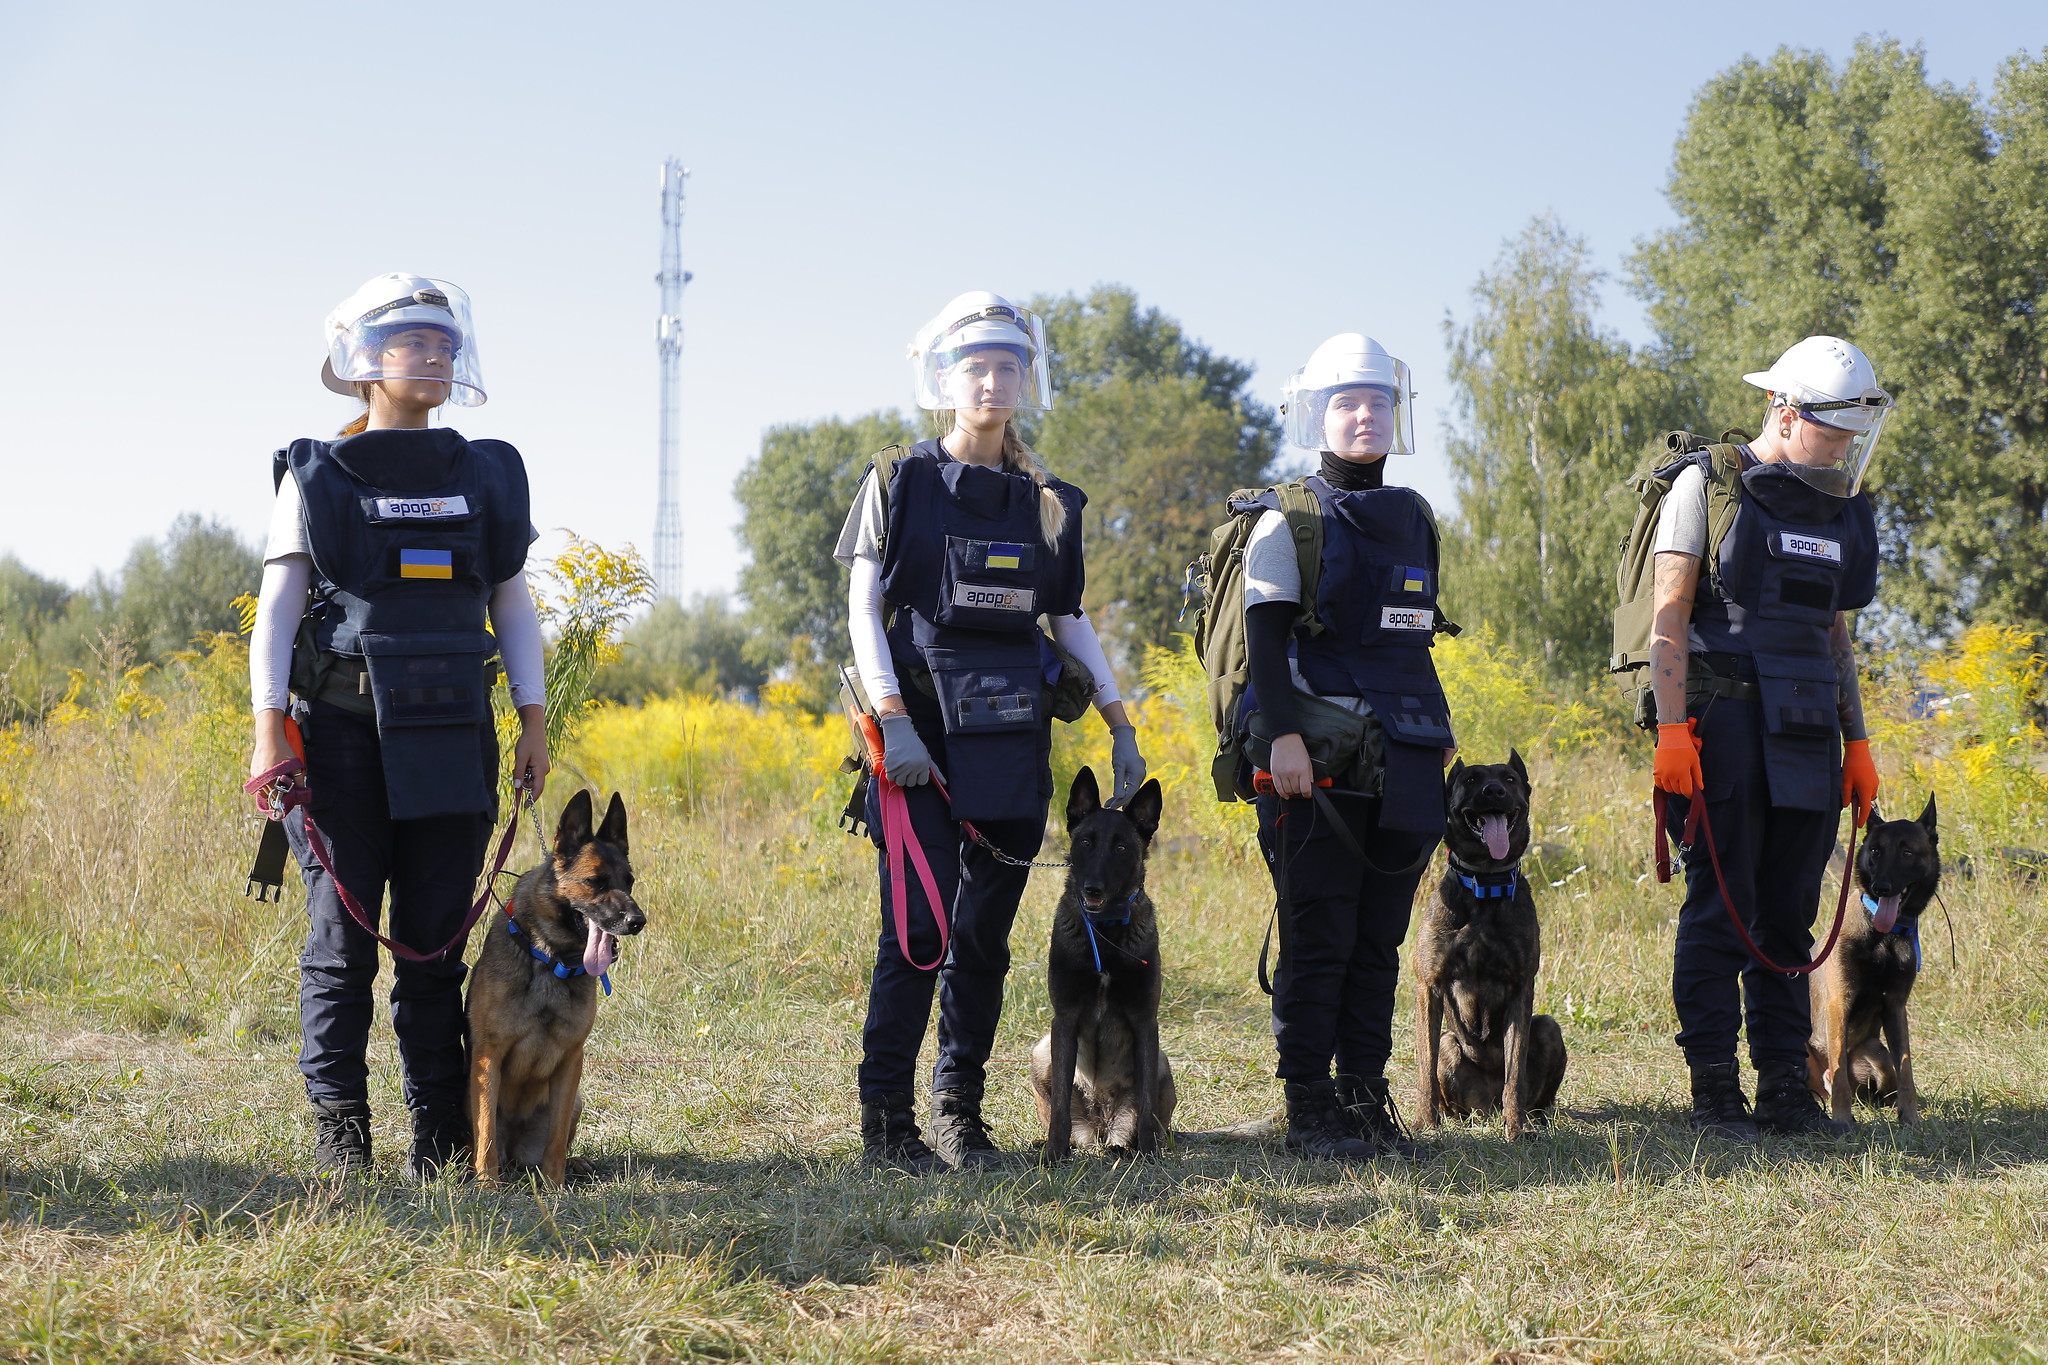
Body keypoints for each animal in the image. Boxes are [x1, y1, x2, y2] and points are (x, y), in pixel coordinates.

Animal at [468, 789, 643, 1186]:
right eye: (596, 881)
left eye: (629, 881)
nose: (638, 921)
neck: (550, 959)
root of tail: (515, 1151)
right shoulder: (488, 1056)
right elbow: (486, 1131)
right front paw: (487, 1182)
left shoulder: (570, 1060)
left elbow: (557, 1136)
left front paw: (554, 1184)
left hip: (576, 1099)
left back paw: (574, 1164)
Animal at [1032, 765, 1179, 1162]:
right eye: (1085, 842)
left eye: (1121, 847)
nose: (1093, 888)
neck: (1104, 932)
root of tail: (1100, 1125)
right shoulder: (1064, 1020)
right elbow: (1061, 1107)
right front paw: (1054, 1152)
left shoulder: (1146, 1021)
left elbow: (1145, 1104)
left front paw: (1148, 1153)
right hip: (1040, 1052)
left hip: (1161, 1060)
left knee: (1142, 1121)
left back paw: (1133, 1146)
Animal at [1409, 753, 1564, 1137]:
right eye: (1471, 780)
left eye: (1509, 779)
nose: (1493, 792)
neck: (1485, 882)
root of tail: (1487, 1105)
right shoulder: (1428, 988)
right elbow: (1424, 1070)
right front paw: (1423, 1123)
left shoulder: (1521, 988)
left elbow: (1515, 1072)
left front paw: (1516, 1127)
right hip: (1449, 1045)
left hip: (1549, 1029)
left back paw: (1529, 1117)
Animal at [1810, 794, 1933, 1129]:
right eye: (1876, 851)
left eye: (1907, 852)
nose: (1882, 888)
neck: (1884, 938)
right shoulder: (1840, 1002)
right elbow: (1838, 1074)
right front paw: (1842, 1120)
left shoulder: (1895, 1005)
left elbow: (1907, 1070)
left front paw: (1910, 1119)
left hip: (1876, 1053)